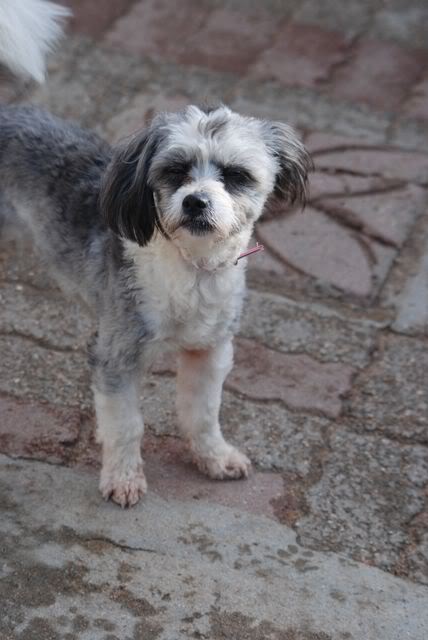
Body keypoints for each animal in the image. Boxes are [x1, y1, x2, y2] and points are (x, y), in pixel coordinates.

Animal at [0, 7, 310, 510]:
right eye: (175, 171)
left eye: (236, 175)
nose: (196, 202)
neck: (192, 267)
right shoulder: (117, 355)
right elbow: (126, 426)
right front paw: (123, 477)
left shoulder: (210, 350)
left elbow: (203, 412)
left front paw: (214, 457)